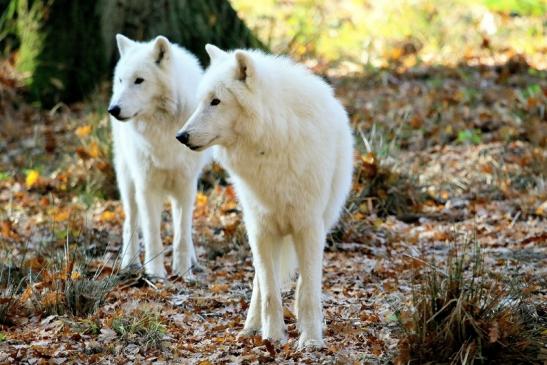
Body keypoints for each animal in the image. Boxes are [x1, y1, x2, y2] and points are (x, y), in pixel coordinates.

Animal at [108, 34, 210, 278]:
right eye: (121, 80)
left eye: (139, 80)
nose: (113, 109)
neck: (162, 128)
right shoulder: (146, 187)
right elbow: (152, 234)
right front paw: (155, 273)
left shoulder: (186, 186)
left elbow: (182, 235)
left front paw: (184, 274)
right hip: (128, 180)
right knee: (130, 223)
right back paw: (129, 263)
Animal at [177, 44, 356, 346]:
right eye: (201, 101)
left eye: (216, 101)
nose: (181, 136)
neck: (272, 142)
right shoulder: (260, 229)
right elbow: (269, 291)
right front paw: (272, 337)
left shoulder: (308, 227)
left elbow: (309, 289)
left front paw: (311, 339)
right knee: (260, 283)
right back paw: (251, 327)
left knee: (303, 282)